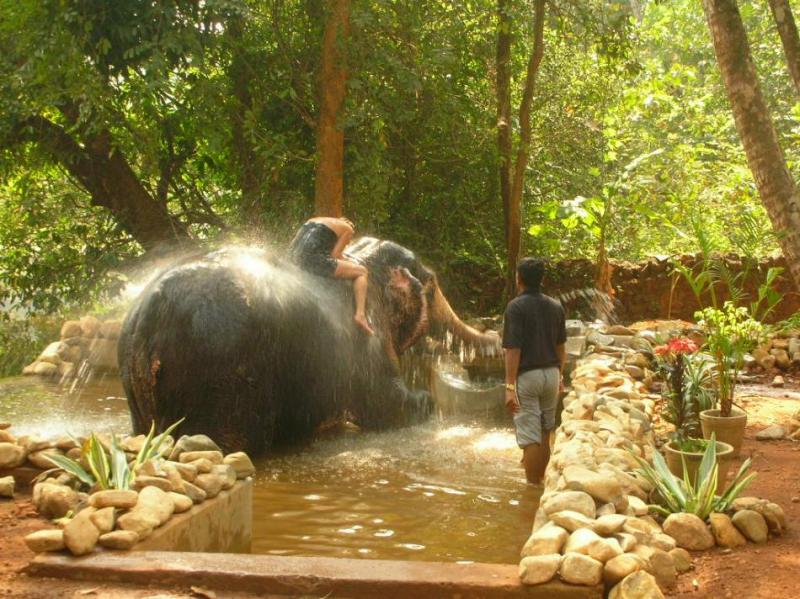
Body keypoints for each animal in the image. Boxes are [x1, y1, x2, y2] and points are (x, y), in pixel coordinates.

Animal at [118, 236, 500, 454]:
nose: (495, 335)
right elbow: (388, 407)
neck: (358, 258)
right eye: (431, 285)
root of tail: (149, 314)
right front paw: (428, 403)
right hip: (219, 377)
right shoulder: (367, 339)